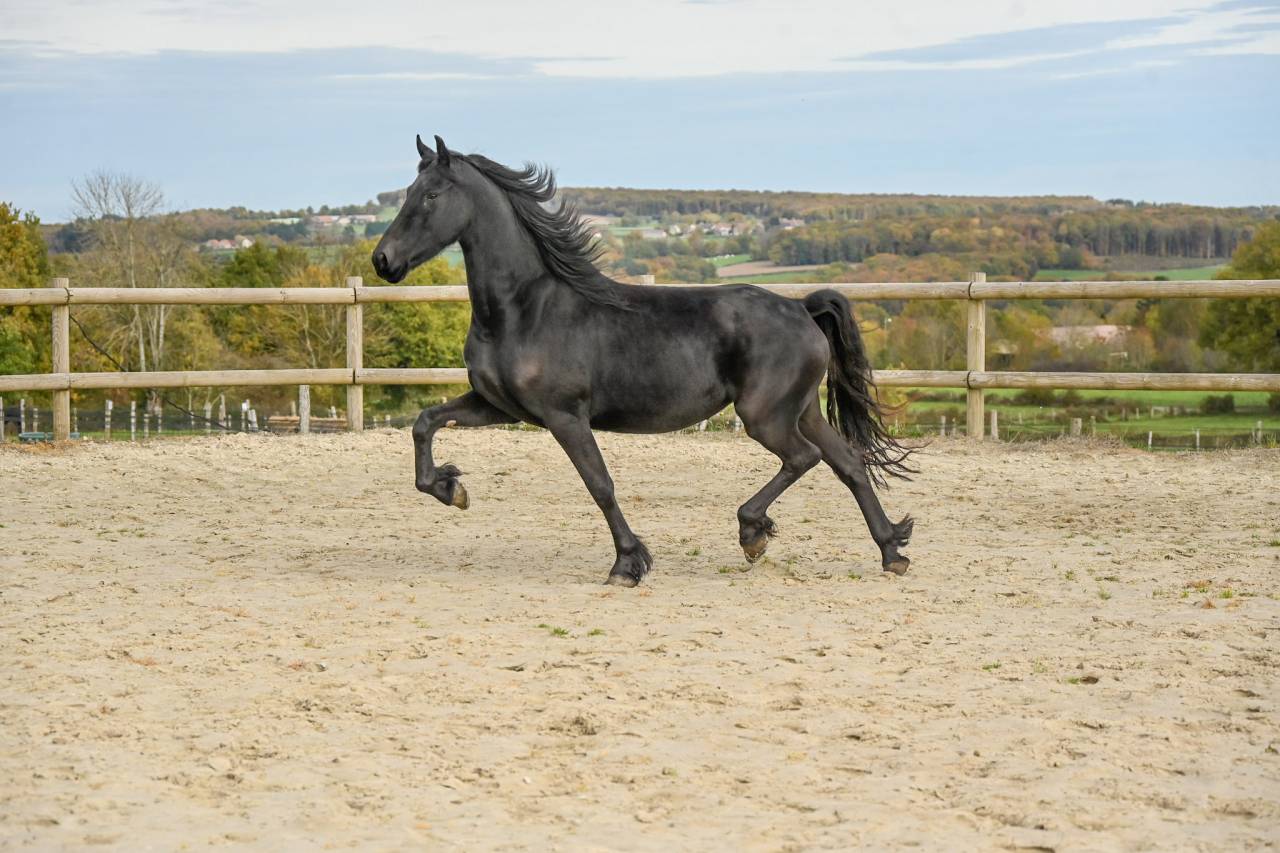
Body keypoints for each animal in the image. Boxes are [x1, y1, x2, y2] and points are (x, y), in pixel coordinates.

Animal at [372, 135, 916, 587]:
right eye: (407, 191)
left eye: (431, 195)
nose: (383, 261)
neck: (524, 309)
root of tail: (801, 307)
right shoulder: (500, 406)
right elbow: (424, 422)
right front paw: (450, 488)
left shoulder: (564, 416)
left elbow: (600, 484)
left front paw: (628, 565)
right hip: (799, 410)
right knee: (847, 462)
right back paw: (892, 550)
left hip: (764, 416)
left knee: (805, 458)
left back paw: (753, 533)